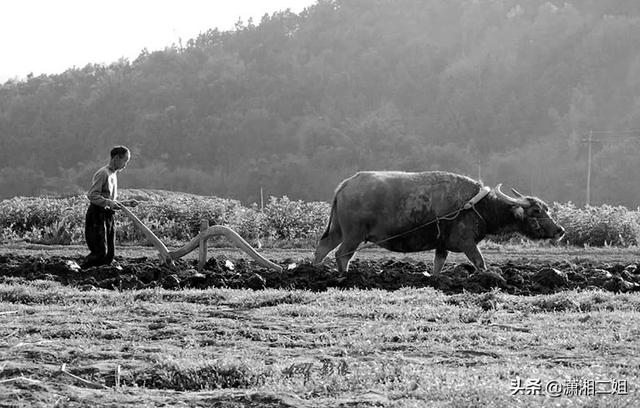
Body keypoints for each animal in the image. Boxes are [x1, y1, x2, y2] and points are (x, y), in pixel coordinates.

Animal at [312, 170, 564, 274]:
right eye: (536, 210)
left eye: (547, 209)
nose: (560, 230)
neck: (477, 207)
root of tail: (346, 184)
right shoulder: (467, 243)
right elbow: (481, 264)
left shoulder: (442, 246)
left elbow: (437, 267)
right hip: (353, 234)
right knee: (341, 255)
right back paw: (344, 276)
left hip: (338, 231)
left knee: (322, 249)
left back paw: (314, 271)